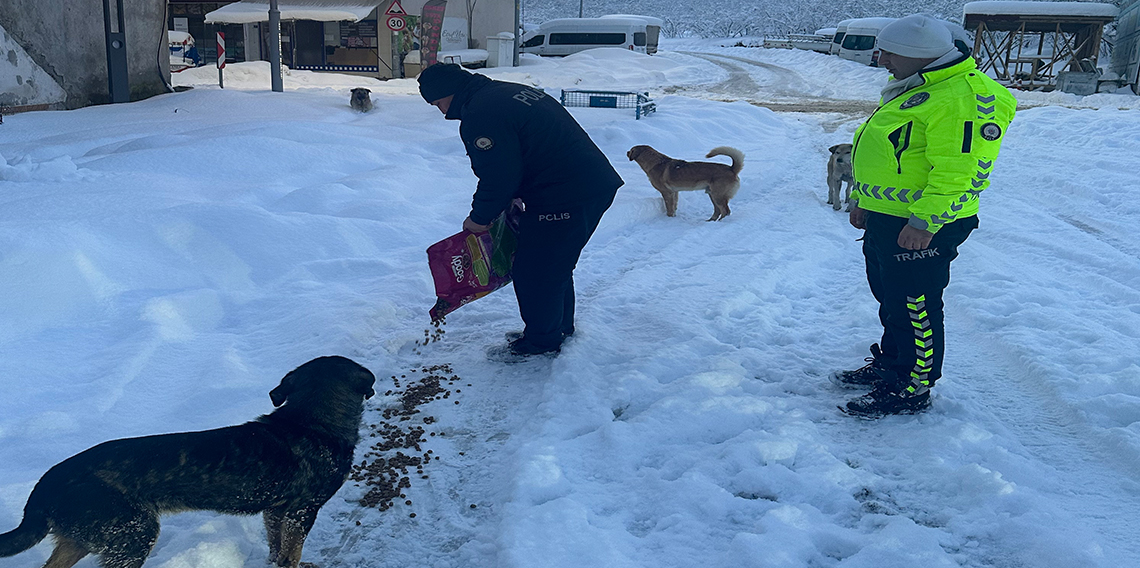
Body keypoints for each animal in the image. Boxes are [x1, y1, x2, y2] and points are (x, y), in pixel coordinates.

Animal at [0, 355, 376, 568]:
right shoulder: (302, 510)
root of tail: (42, 491)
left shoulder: (276, 511)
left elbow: (276, 548)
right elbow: (292, 552)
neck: (311, 421)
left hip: (83, 538)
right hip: (133, 535)